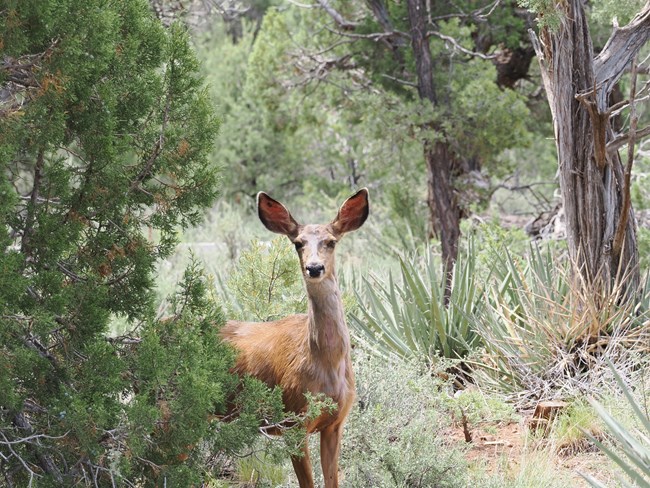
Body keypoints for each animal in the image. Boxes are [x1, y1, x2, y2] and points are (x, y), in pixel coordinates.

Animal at [219, 188, 369, 488]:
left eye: (331, 241)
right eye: (298, 243)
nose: (314, 267)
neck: (325, 362)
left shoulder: (335, 423)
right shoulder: (293, 422)